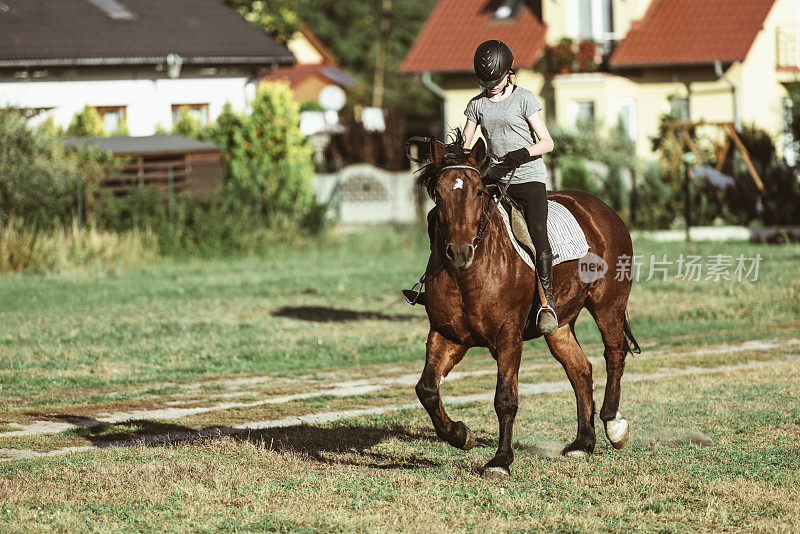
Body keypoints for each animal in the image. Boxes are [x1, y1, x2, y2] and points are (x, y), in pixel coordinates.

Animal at [416, 135, 640, 482]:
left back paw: (613, 425)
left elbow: (505, 399)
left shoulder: (509, 337)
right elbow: (426, 388)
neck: (469, 273)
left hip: (608, 304)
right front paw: (460, 434)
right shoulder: (447, 334)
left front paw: (500, 461)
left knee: (614, 353)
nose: (459, 252)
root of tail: (603, 210)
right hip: (559, 324)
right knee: (580, 369)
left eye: (478, 191)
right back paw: (582, 443)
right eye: (438, 194)